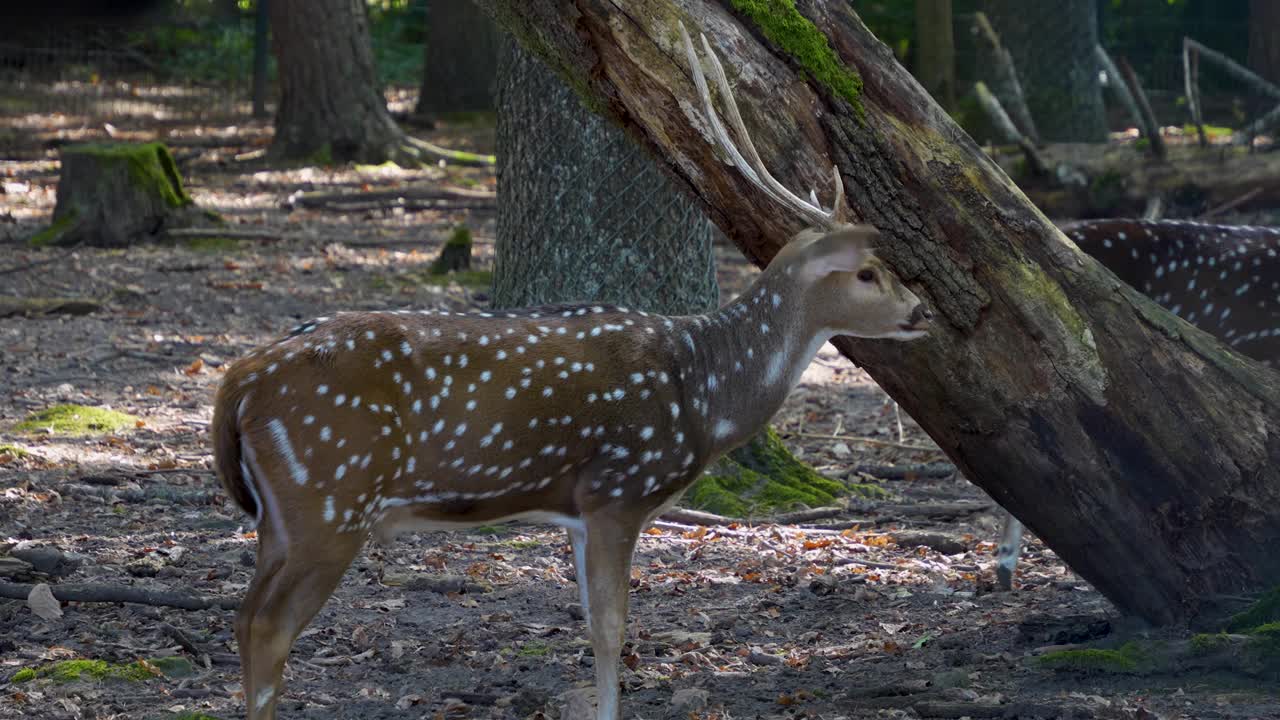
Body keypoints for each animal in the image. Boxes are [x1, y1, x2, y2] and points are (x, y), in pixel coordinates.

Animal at [209, 25, 931, 717]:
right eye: (867, 272)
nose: (922, 310)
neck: (702, 392)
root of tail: (237, 380)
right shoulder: (619, 488)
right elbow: (613, 628)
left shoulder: (578, 510)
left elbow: (590, 624)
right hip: (329, 497)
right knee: (268, 627)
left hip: (281, 515)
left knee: (243, 618)